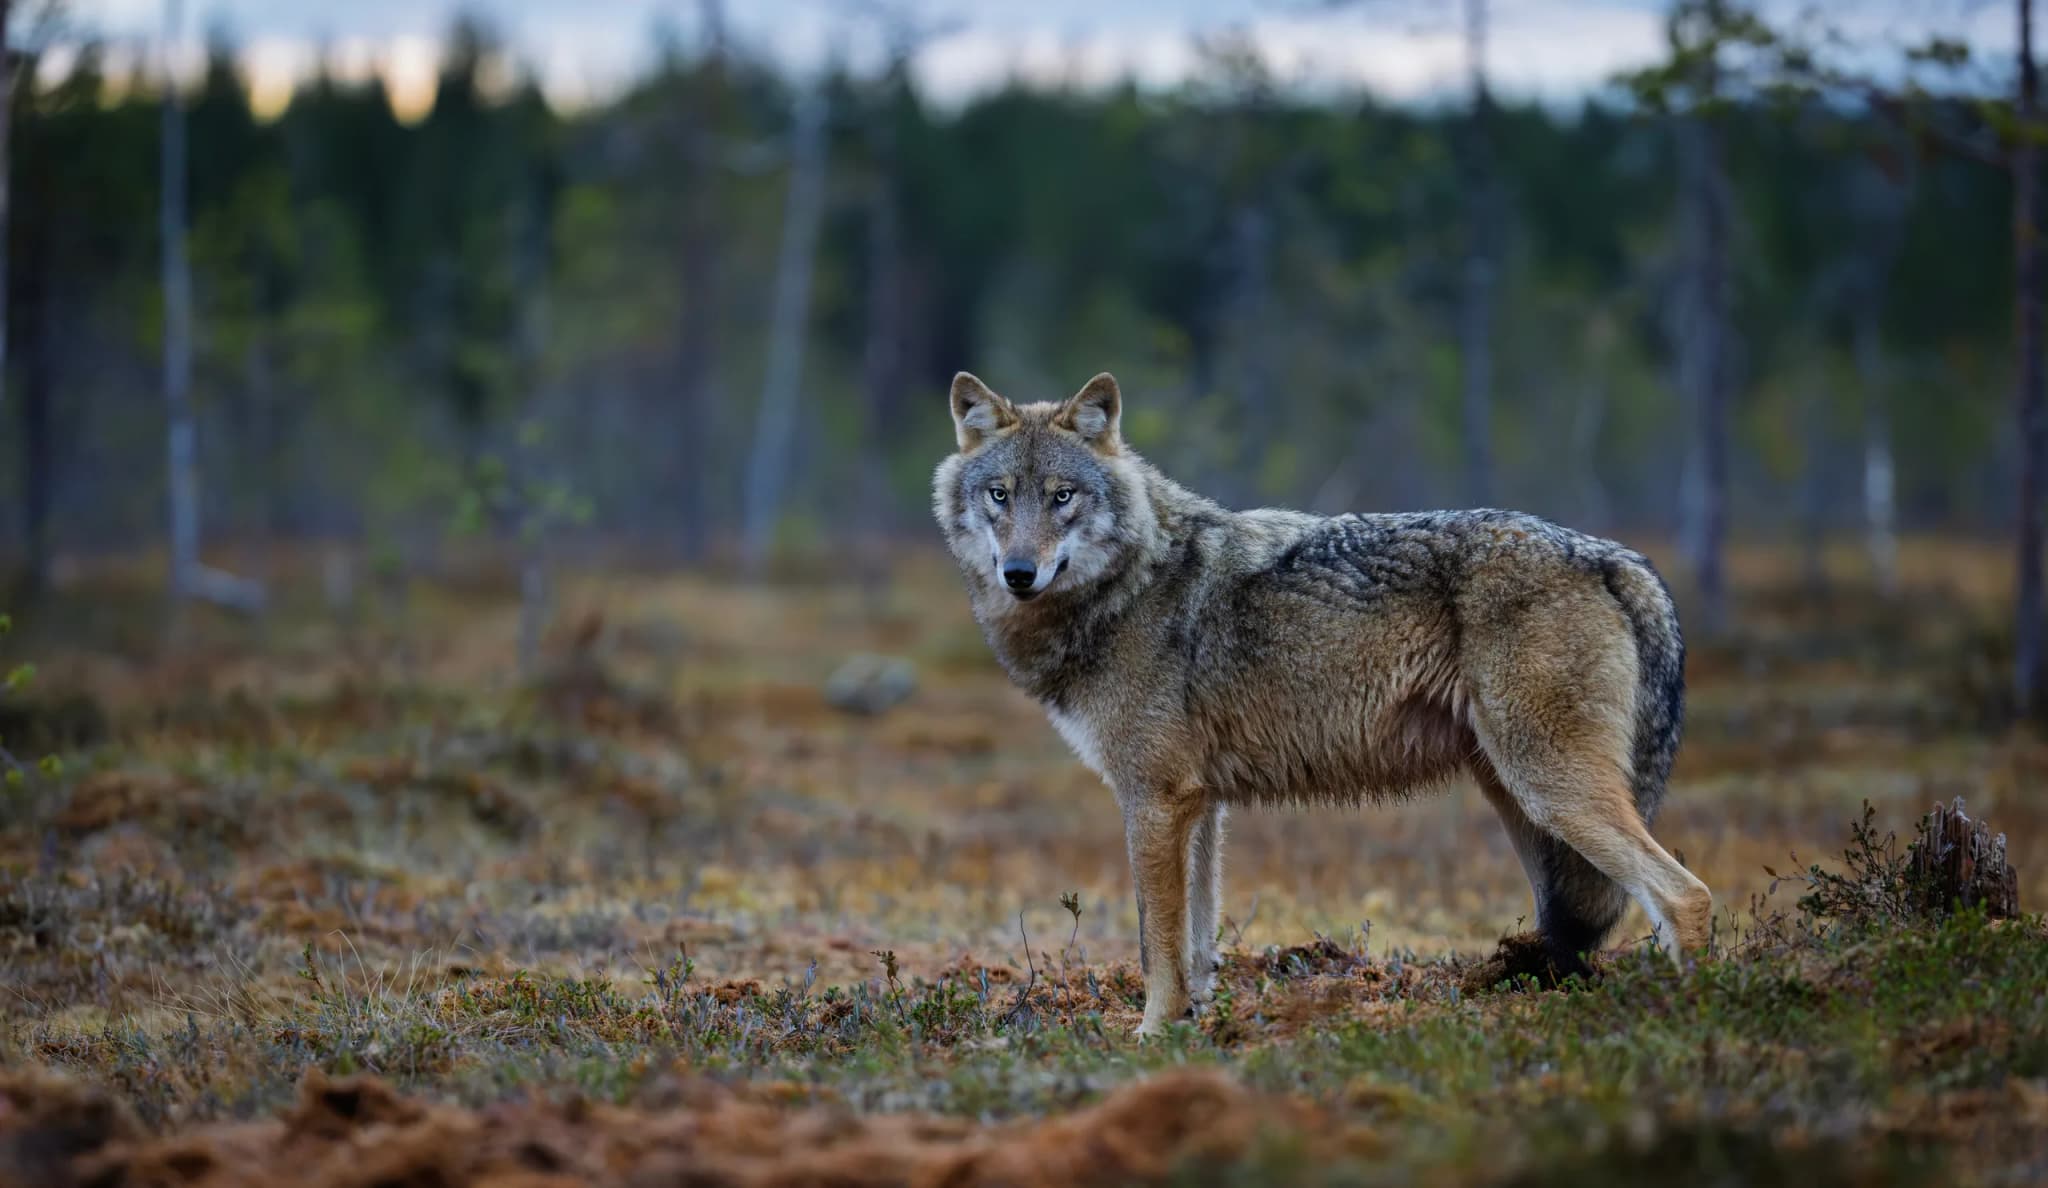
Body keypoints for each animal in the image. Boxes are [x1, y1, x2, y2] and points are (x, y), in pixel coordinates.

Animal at [933, 371, 1713, 1036]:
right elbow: (1197, 944)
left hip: (1550, 792)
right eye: (1000, 495)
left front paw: (1150, 1038)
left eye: (1062, 496)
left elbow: (1158, 943)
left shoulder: (1153, 800)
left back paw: (1693, 1011)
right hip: (1521, 805)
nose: (1019, 572)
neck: (1129, 583)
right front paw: (1194, 1030)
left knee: (1685, 894)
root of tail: (1617, 556)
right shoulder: (1199, 806)